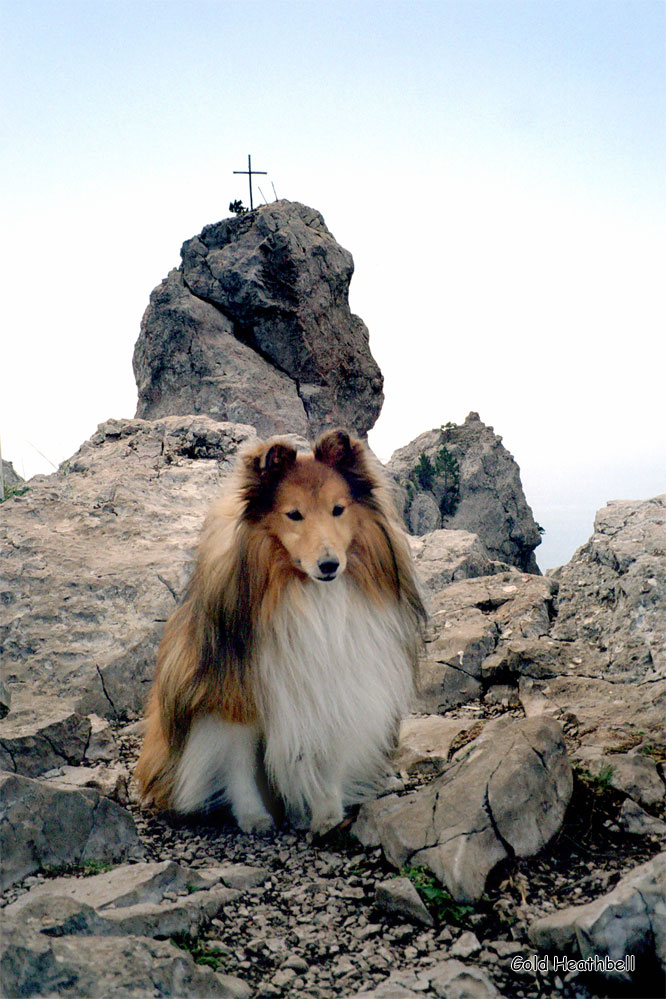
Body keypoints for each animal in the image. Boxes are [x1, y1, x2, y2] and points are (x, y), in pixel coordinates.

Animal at [136, 430, 426, 836]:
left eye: (338, 509)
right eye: (294, 514)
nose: (329, 565)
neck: (311, 597)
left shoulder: (341, 689)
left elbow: (331, 756)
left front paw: (327, 813)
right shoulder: (232, 699)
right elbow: (238, 764)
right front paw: (253, 817)